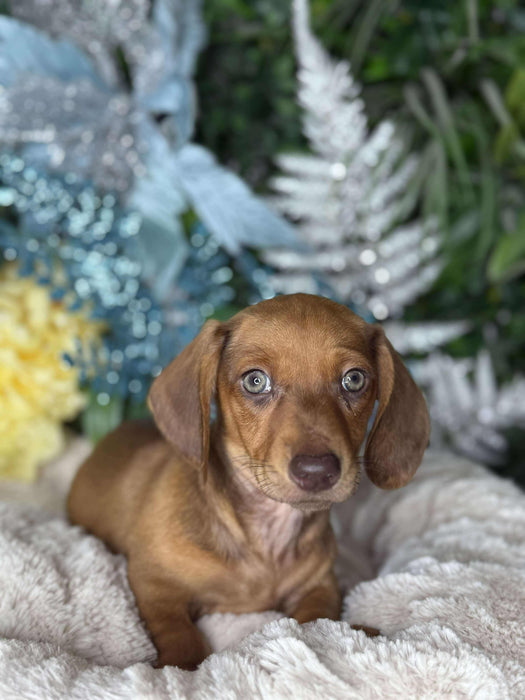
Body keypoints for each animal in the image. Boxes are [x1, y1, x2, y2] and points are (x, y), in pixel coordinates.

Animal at [67, 292, 428, 668]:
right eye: (256, 381)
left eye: (354, 379)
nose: (317, 471)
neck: (266, 539)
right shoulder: (151, 582)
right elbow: (178, 632)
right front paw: (178, 663)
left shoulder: (321, 585)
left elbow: (317, 620)